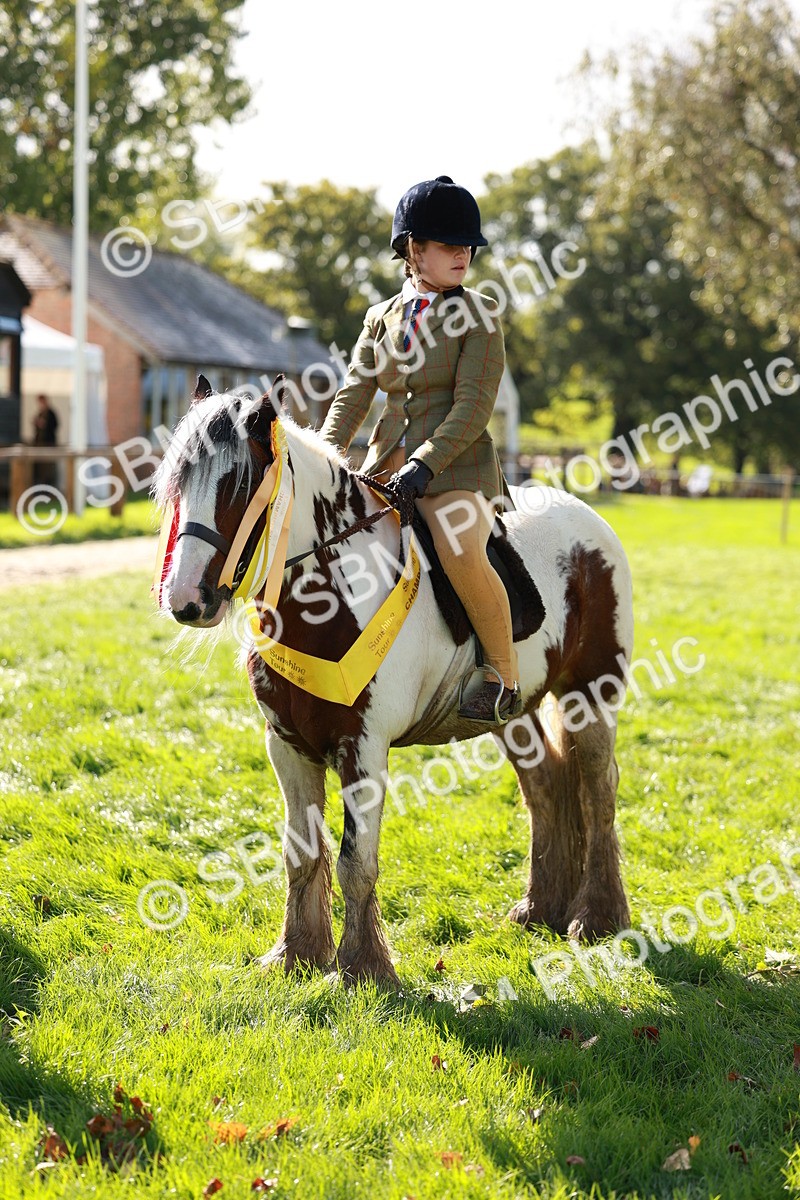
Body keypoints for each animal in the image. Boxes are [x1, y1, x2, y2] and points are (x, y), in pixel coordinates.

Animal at [153, 377, 634, 987]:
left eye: (239, 485)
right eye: (178, 482)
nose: (186, 598)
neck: (328, 599)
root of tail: (587, 519)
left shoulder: (364, 747)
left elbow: (356, 861)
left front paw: (364, 967)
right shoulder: (286, 746)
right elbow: (300, 854)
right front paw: (296, 954)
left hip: (590, 693)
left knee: (598, 789)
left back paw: (597, 917)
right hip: (515, 710)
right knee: (545, 785)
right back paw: (539, 907)